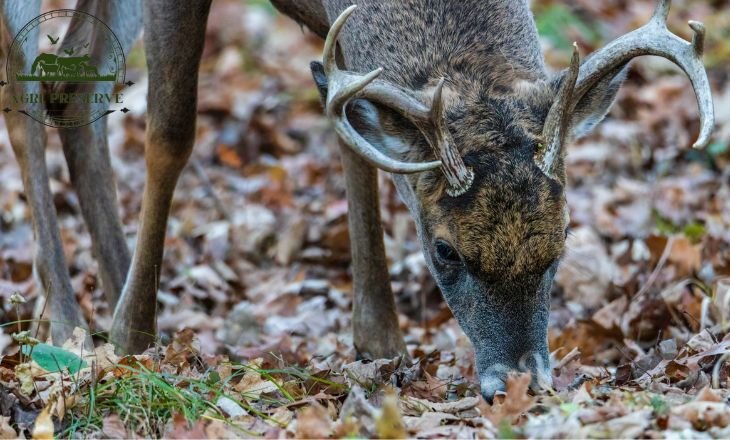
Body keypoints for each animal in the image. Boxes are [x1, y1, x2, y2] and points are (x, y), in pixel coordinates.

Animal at [1, 0, 712, 402]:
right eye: (445, 251)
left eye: (562, 239)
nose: (519, 382)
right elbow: (172, 127)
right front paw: (131, 338)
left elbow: (356, 135)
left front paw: (379, 339)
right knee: (26, 77)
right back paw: (68, 319)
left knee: (78, 75)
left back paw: (115, 284)